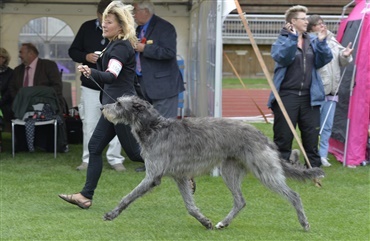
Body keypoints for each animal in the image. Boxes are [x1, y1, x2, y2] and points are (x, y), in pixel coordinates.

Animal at [100, 95, 324, 231]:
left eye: (119, 103)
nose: (102, 107)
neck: (155, 128)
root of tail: (262, 136)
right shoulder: (180, 177)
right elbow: (190, 206)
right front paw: (204, 221)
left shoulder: (153, 175)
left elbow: (128, 196)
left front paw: (112, 213)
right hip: (229, 171)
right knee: (240, 201)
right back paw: (223, 223)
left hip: (264, 171)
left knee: (293, 195)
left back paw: (304, 222)